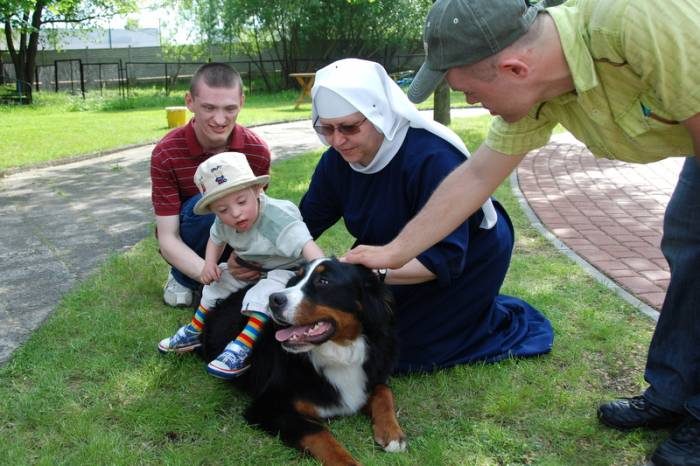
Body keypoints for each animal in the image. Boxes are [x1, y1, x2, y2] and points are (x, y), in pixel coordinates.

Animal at [200, 257, 406, 465]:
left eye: (323, 281)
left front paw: (392, 433)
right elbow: (319, 433)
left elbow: (383, 391)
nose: (273, 299)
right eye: (295, 279)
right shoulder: (268, 406)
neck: (339, 354)